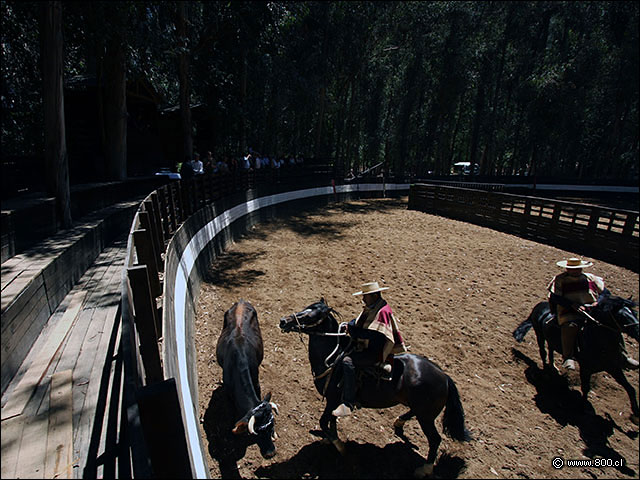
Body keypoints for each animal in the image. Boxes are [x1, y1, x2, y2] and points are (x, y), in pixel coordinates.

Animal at [215, 298, 278, 460]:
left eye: (272, 425)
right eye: (257, 432)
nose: (271, 453)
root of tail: (241, 302)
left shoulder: (256, 382)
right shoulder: (228, 393)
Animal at [278, 298, 470, 478]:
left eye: (312, 315)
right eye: (306, 307)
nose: (283, 321)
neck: (333, 356)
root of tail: (444, 377)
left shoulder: (332, 399)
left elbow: (324, 421)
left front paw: (340, 447)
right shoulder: (334, 402)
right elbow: (331, 421)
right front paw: (329, 439)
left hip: (427, 417)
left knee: (435, 439)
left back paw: (424, 469)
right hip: (422, 411)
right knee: (413, 414)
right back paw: (399, 421)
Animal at [516, 290, 640, 426]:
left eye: (634, 313)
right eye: (623, 316)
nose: (638, 331)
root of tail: (539, 306)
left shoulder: (614, 368)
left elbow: (630, 388)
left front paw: (636, 415)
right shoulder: (585, 368)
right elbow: (585, 388)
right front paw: (585, 408)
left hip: (550, 339)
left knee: (551, 350)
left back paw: (553, 367)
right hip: (539, 335)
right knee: (543, 352)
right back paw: (547, 373)